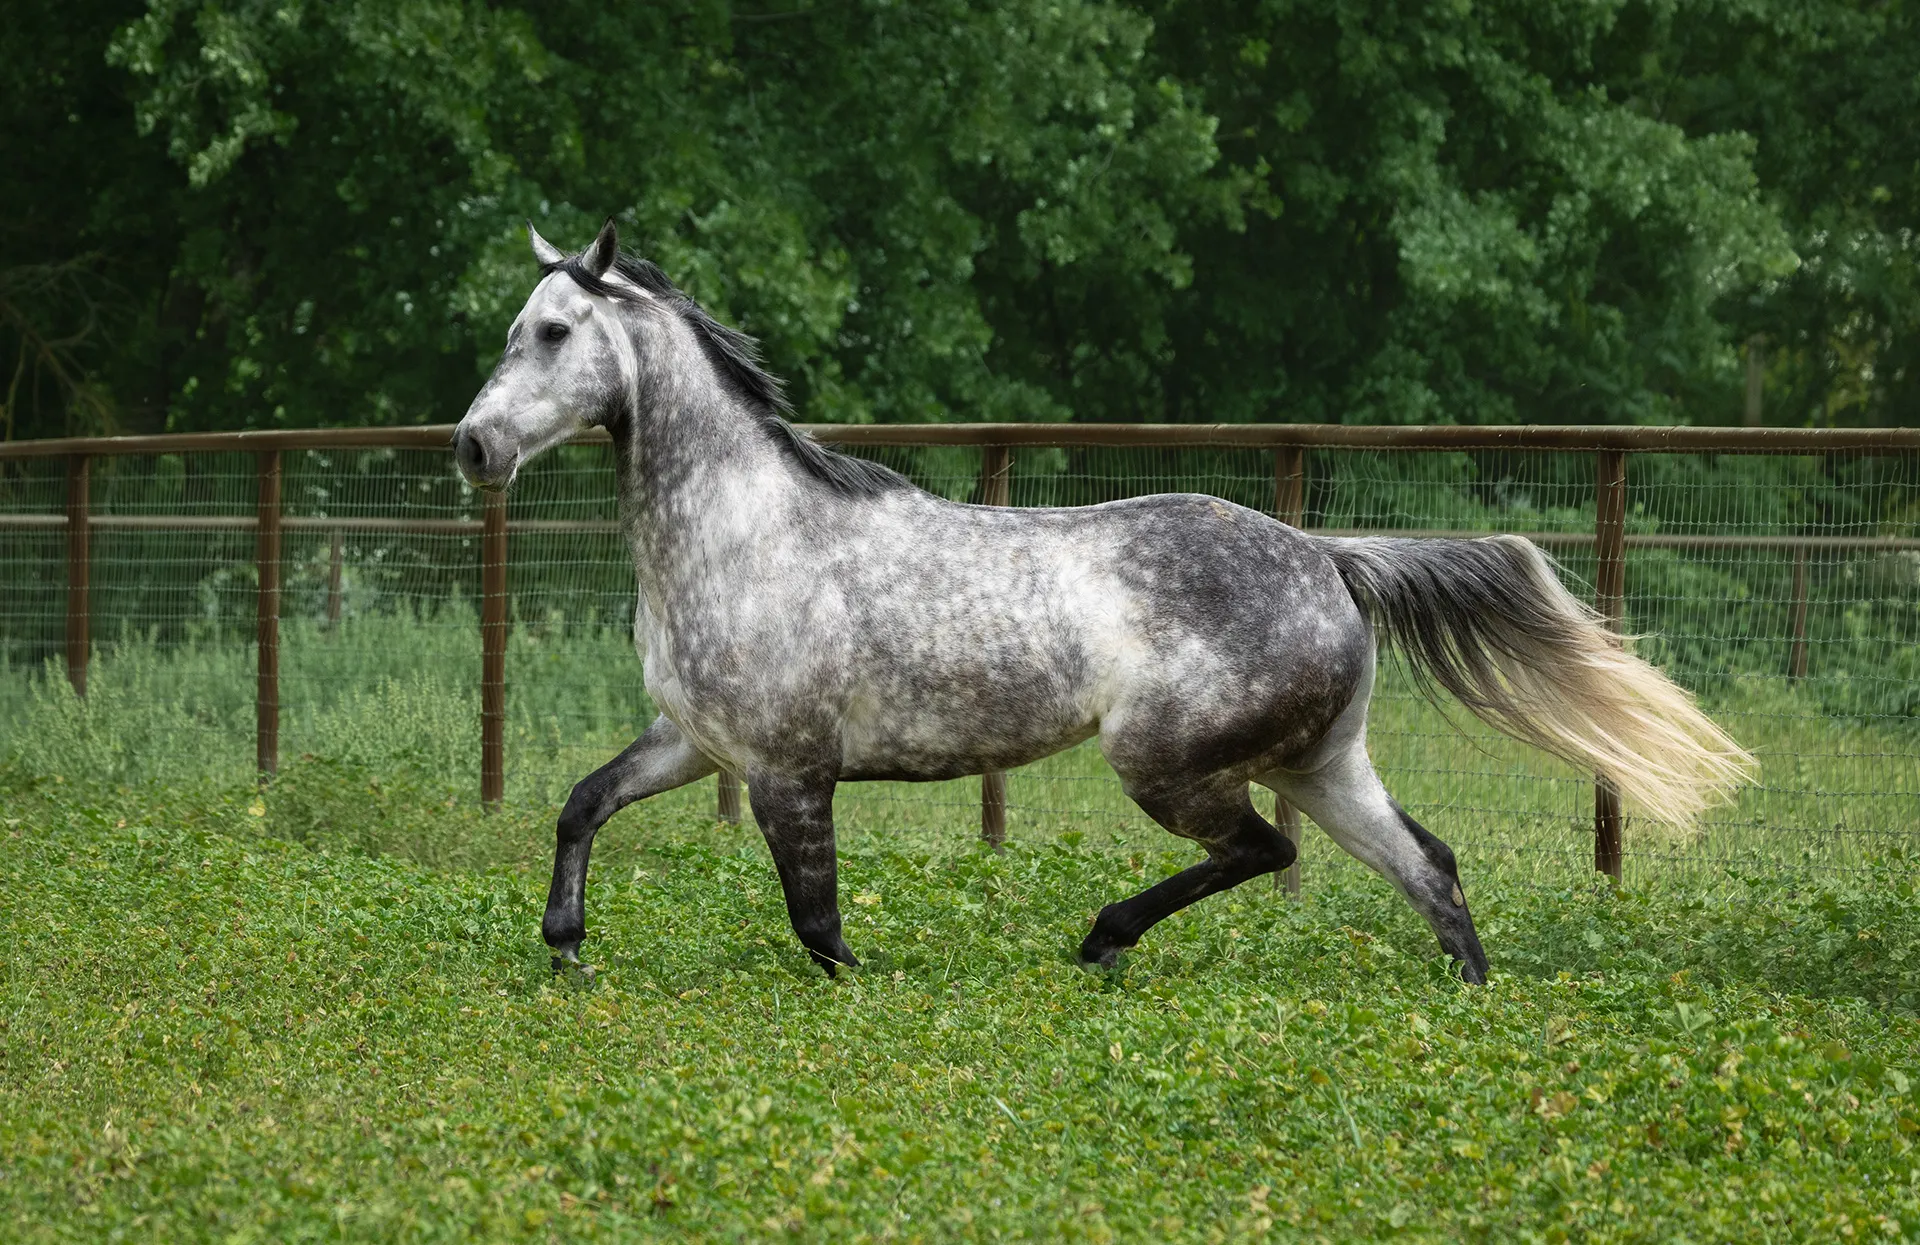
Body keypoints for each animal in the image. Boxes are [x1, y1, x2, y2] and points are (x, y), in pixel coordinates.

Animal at [452, 218, 1752, 984]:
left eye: (555, 331)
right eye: (513, 329)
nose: (472, 447)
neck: (747, 533)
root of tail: (1326, 557)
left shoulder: (788, 770)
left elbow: (817, 926)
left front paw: (866, 989)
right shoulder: (697, 742)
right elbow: (580, 804)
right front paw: (564, 949)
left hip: (1168, 762)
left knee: (1260, 850)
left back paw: (1101, 940)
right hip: (1324, 762)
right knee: (1425, 864)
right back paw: (1466, 998)